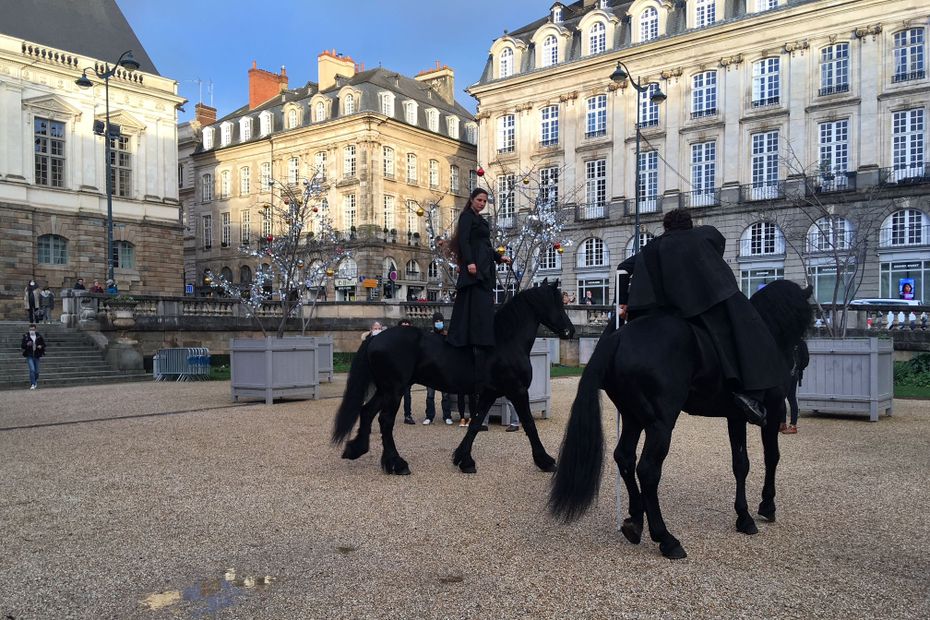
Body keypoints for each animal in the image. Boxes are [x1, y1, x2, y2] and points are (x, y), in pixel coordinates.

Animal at [334, 280, 572, 474]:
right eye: (558, 303)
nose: (570, 330)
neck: (505, 342)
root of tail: (375, 337)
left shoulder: (490, 393)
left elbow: (475, 423)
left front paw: (464, 459)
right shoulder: (517, 390)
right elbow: (529, 424)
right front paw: (545, 461)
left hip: (386, 389)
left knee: (367, 412)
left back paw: (359, 450)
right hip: (394, 390)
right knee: (385, 420)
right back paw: (397, 464)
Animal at [548, 278, 808, 560]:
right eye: (805, 318)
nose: (799, 364)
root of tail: (617, 339)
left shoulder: (736, 416)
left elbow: (741, 464)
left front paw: (744, 515)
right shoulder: (772, 410)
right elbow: (771, 457)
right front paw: (766, 505)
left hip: (633, 417)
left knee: (625, 458)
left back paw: (635, 521)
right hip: (660, 424)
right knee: (648, 470)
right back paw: (666, 538)